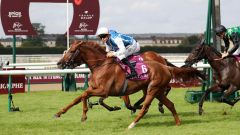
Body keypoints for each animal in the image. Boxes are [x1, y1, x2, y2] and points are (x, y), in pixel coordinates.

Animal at [54, 40, 202, 129]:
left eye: (71, 51)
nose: (59, 63)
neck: (101, 65)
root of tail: (165, 66)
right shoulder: (95, 88)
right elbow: (78, 98)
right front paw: (59, 113)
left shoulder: (104, 91)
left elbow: (85, 95)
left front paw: (84, 115)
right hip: (157, 91)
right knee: (170, 104)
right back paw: (177, 122)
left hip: (152, 89)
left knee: (147, 106)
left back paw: (132, 123)